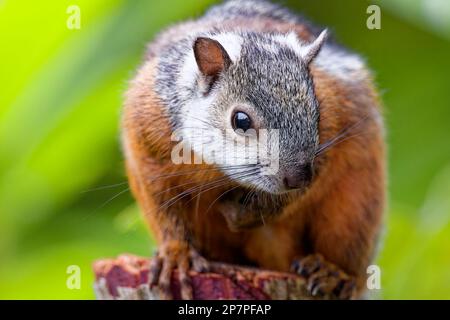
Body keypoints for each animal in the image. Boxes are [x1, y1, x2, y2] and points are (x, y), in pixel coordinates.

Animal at [121, 0, 384, 300]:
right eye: (241, 121)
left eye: (316, 113)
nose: (298, 177)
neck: (215, 168)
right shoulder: (145, 137)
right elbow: (163, 207)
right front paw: (177, 254)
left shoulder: (334, 120)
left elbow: (301, 187)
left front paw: (244, 214)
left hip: (355, 206)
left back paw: (332, 272)